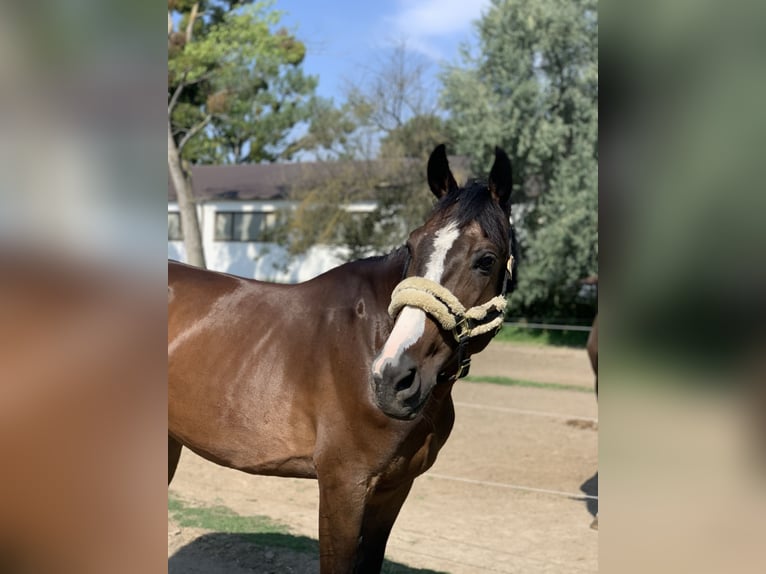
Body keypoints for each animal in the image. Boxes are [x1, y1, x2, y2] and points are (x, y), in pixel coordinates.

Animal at [167, 146, 516, 572]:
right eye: (413, 245)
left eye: (486, 259)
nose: (392, 379)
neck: (370, 335)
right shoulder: (344, 485)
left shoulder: (394, 489)